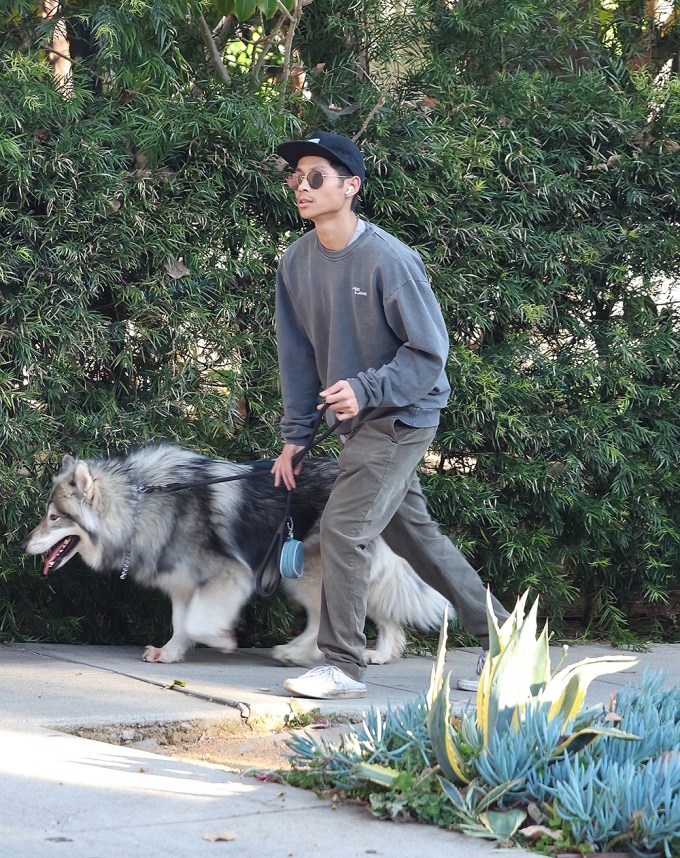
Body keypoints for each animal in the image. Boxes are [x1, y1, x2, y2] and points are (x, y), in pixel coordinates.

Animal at [22, 444, 452, 664]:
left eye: (53, 517)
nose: (23, 545)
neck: (139, 504)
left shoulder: (230, 576)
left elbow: (199, 622)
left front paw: (223, 640)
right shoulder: (183, 585)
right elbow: (182, 623)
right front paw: (171, 653)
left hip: (306, 574)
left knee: (327, 619)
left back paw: (300, 653)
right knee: (374, 616)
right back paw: (377, 654)